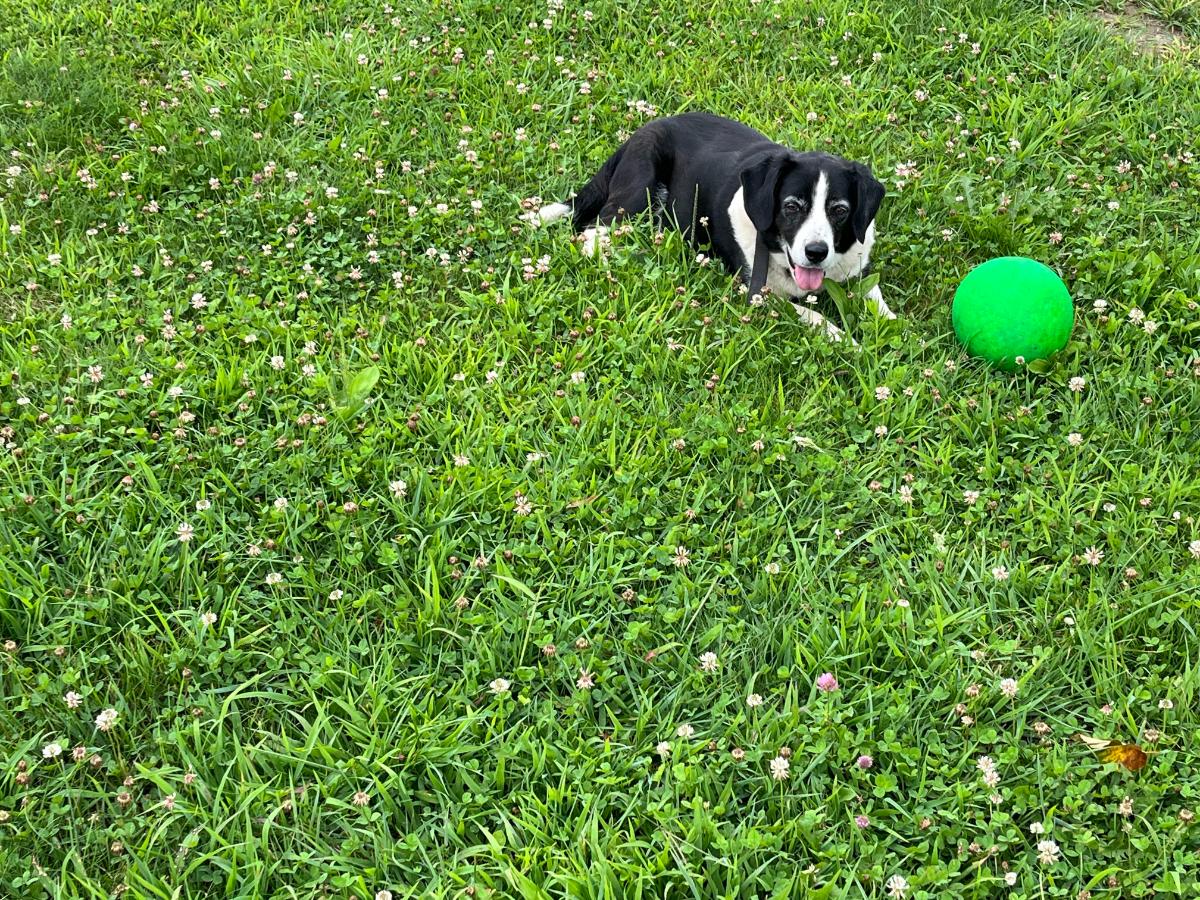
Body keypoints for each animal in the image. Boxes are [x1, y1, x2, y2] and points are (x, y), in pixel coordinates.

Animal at [535, 112, 892, 338]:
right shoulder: (759, 293)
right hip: (637, 191)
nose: (816, 252)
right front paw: (844, 339)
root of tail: (637, 135)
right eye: (791, 207)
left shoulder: (858, 269)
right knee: (593, 231)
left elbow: (879, 302)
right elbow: (812, 314)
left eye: (840, 211)